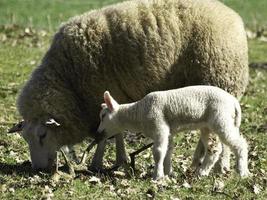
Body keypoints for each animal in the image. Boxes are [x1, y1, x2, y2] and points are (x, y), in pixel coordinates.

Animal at [97, 86, 250, 180]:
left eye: (103, 116)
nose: (98, 133)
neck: (138, 114)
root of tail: (234, 102)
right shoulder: (168, 132)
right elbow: (168, 151)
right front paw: (169, 173)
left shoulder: (159, 126)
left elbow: (158, 152)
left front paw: (157, 176)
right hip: (210, 126)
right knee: (214, 149)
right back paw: (202, 173)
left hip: (221, 119)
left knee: (240, 145)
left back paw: (242, 172)